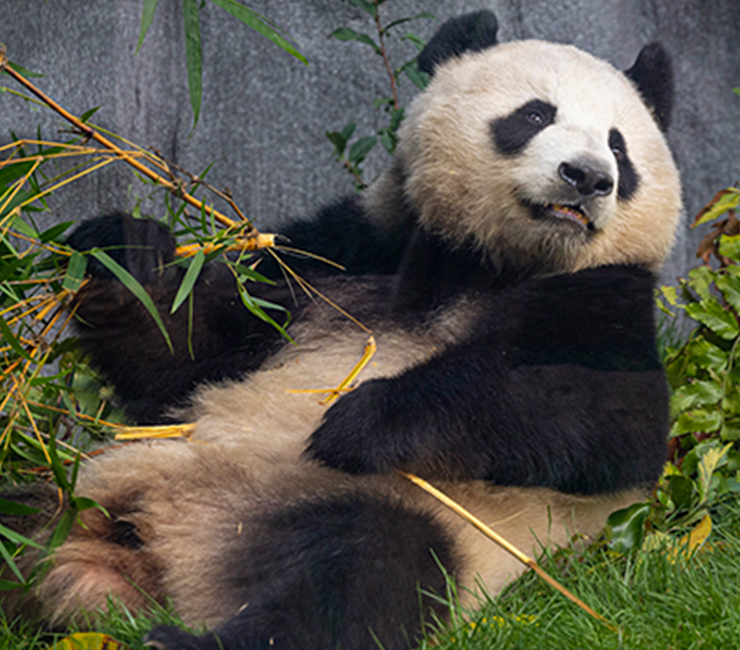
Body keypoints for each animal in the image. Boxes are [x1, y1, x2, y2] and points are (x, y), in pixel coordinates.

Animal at [12, 10, 682, 650]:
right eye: (536, 114)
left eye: (620, 147)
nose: (589, 177)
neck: (486, 265)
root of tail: (153, 562)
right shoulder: (342, 257)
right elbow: (184, 354)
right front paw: (121, 253)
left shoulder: (605, 300)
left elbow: (608, 417)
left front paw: (360, 420)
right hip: (81, 485)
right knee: (20, 514)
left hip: (385, 515)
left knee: (362, 570)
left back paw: (183, 640)